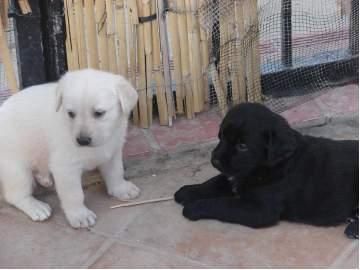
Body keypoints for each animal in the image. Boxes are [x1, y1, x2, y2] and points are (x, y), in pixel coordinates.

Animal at [0, 69, 140, 228]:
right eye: (71, 113)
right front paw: (80, 215)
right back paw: (35, 206)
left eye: (99, 113)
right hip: (15, 168)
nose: (82, 140)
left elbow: (116, 172)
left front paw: (121, 189)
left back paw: (44, 178)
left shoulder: (112, 152)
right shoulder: (66, 167)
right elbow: (74, 194)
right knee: (15, 195)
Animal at [174, 102, 358, 237]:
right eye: (221, 136)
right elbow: (215, 182)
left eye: (242, 146)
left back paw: (353, 229)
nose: (215, 160)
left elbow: (222, 203)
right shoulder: (235, 175)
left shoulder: (259, 209)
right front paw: (187, 191)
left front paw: (194, 207)